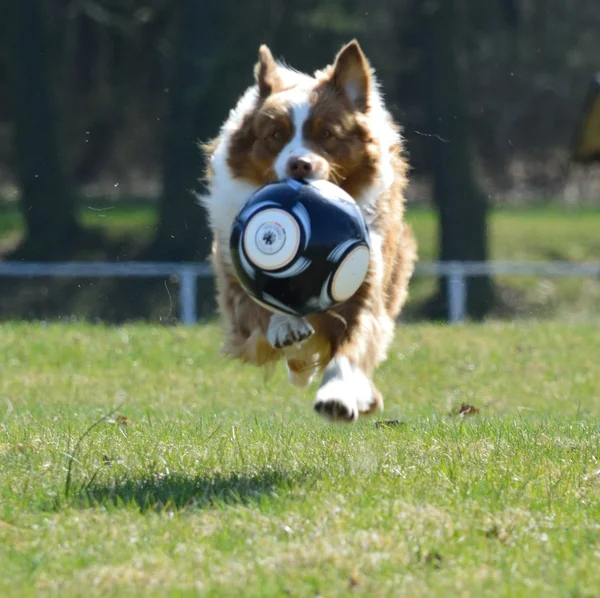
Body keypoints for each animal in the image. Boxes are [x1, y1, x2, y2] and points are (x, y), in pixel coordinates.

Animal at [199, 39, 414, 424]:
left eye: (327, 133)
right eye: (275, 136)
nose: (300, 164)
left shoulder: (364, 282)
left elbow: (352, 347)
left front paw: (338, 396)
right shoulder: (234, 275)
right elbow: (259, 306)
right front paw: (285, 324)